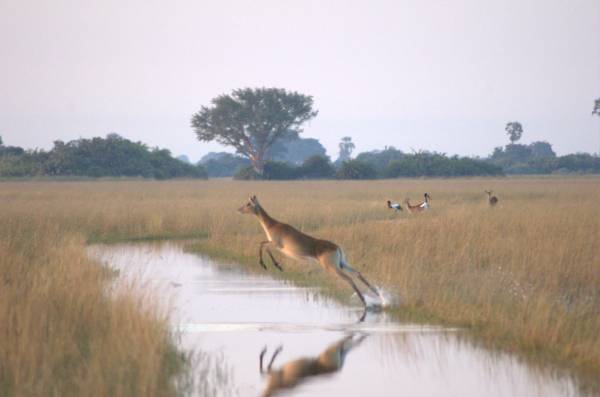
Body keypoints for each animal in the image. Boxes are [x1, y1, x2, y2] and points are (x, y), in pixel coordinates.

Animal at [237, 195, 382, 306]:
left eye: (248, 203)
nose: (239, 209)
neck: (272, 225)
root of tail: (337, 247)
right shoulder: (274, 245)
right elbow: (262, 244)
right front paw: (275, 265)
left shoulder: (276, 245)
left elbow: (262, 245)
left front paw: (271, 265)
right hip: (342, 263)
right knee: (357, 273)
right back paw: (379, 296)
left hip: (331, 267)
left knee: (349, 278)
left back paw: (365, 302)